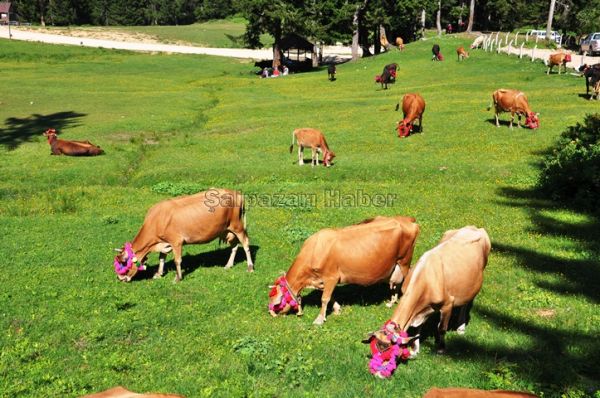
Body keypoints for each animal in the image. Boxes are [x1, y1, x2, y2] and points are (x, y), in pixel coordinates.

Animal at [115, 187, 253, 282]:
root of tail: (237, 193)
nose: (120, 278)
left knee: (245, 243)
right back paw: (228, 265)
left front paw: (178, 278)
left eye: (123, 263)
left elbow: (177, 260)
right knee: (234, 246)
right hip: (227, 230)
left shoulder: (176, 241)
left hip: (237, 226)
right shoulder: (164, 242)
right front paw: (159, 274)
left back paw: (250, 267)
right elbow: (161, 258)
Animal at [270, 216, 420, 324]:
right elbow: (330, 296)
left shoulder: (331, 276)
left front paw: (320, 319)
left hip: (404, 261)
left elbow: (325, 298)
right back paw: (391, 301)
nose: (271, 313)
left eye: (276, 302)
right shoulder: (324, 280)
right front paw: (337, 309)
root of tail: (407, 219)